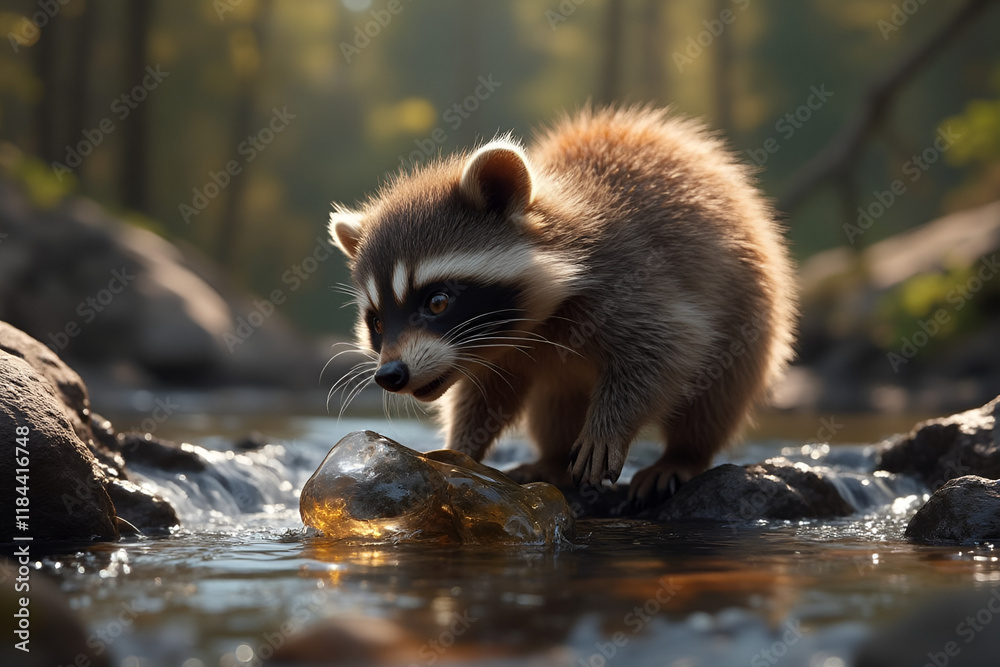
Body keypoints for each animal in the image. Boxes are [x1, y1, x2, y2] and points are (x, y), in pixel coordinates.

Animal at [329, 106, 797, 502]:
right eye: (376, 322)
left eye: (438, 302)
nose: (390, 375)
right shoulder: (502, 352)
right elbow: (487, 396)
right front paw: (461, 446)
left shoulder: (630, 275)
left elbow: (668, 346)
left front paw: (610, 428)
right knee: (553, 404)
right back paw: (552, 459)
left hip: (751, 313)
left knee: (715, 395)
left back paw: (684, 454)